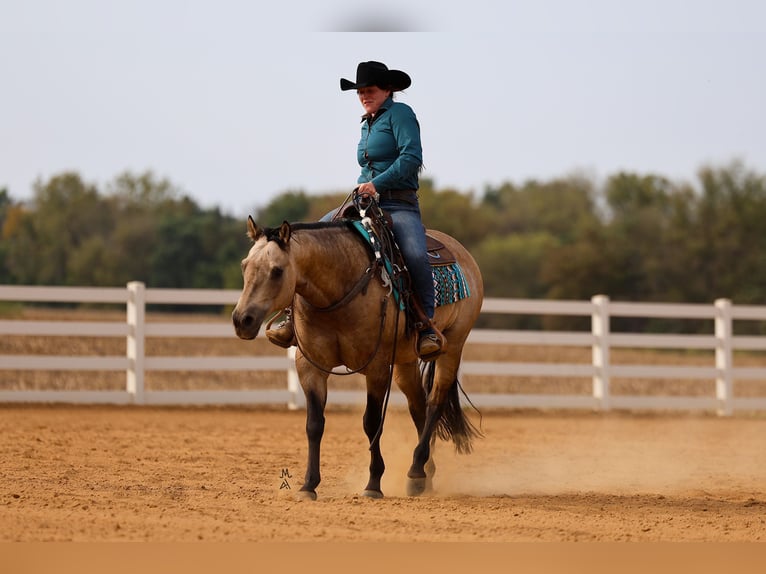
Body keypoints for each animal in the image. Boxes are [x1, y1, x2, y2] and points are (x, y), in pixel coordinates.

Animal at [232, 215, 484, 499]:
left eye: (277, 270)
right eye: (245, 266)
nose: (242, 320)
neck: (338, 290)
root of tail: (463, 254)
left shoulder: (376, 368)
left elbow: (371, 422)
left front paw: (373, 483)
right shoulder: (309, 366)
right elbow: (314, 424)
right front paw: (308, 485)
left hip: (452, 347)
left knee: (435, 404)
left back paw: (416, 469)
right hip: (405, 361)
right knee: (418, 406)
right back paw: (424, 476)